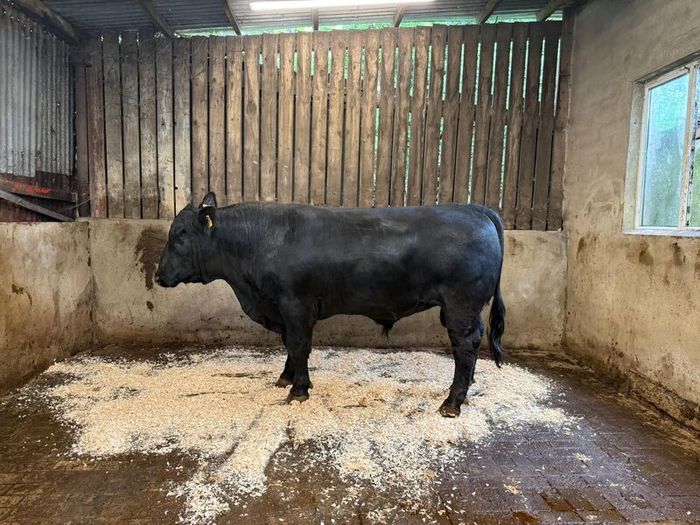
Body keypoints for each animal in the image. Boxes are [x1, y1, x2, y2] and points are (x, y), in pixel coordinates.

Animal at [154, 193, 506, 417]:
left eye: (181, 236)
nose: (157, 275)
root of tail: (475, 209)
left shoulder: (295, 304)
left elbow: (298, 345)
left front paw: (298, 390)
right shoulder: (284, 310)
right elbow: (289, 345)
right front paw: (287, 378)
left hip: (459, 305)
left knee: (465, 345)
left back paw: (452, 402)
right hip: (468, 308)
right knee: (474, 341)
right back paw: (469, 385)